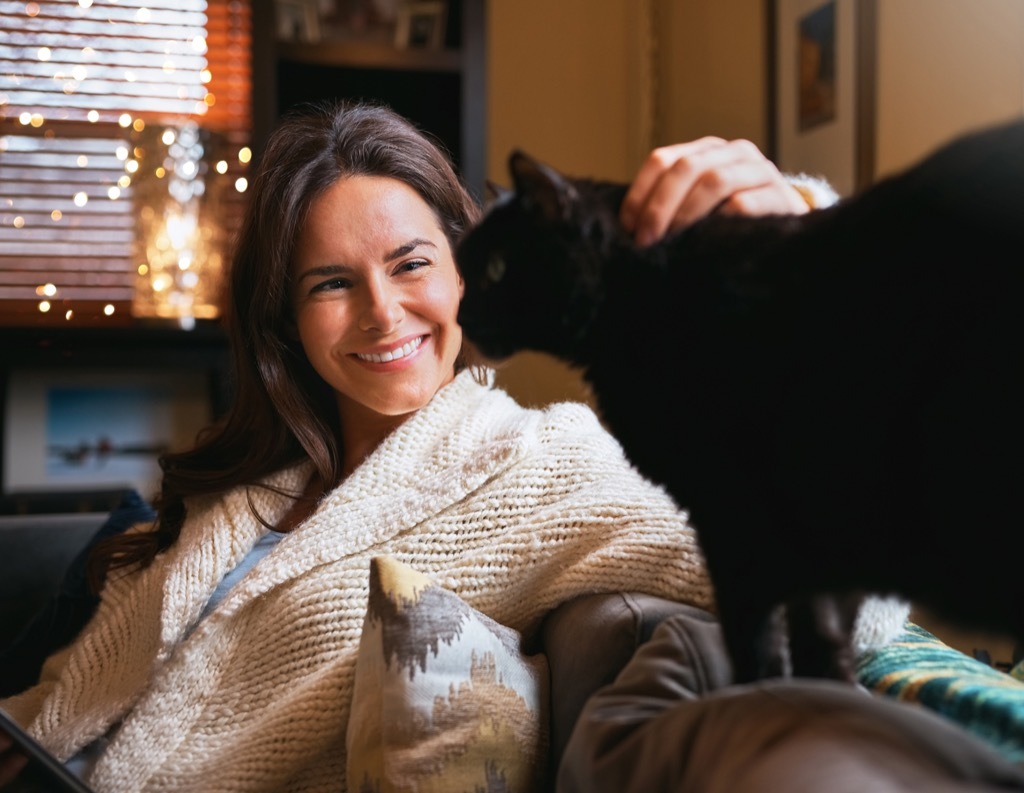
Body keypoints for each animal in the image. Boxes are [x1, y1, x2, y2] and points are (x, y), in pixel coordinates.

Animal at [456, 120, 1024, 684]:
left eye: (496, 269)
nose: (460, 315)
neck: (642, 289)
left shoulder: (736, 511)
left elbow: (758, 631)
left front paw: (771, 689)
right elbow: (817, 631)